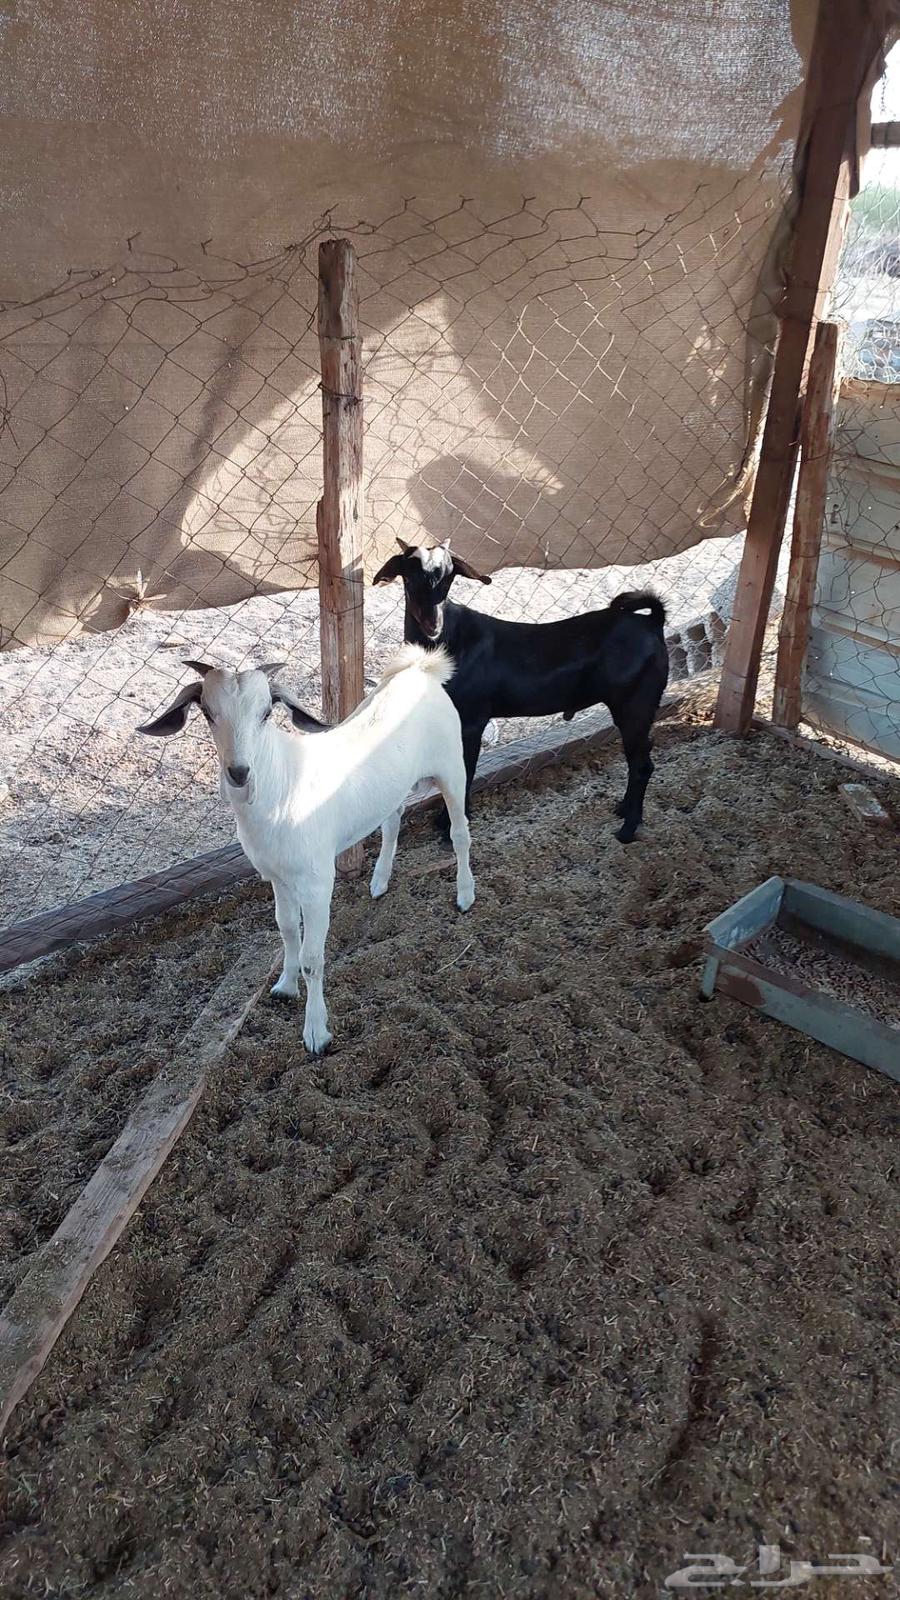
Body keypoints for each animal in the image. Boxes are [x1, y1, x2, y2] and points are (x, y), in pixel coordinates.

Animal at [138, 648, 475, 1054]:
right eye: (207, 712)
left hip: (452, 767)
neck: (282, 785)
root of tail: (421, 669)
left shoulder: (317, 882)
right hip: (395, 787)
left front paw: (316, 1033)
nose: (239, 773)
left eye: (266, 712)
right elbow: (286, 929)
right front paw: (284, 987)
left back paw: (465, 895)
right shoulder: (277, 876)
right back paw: (379, 882)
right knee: (392, 818)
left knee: (460, 832)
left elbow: (313, 957)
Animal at [373, 538, 668, 844]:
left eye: (449, 579)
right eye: (409, 578)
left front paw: (449, 826)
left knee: (641, 764)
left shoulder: (472, 719)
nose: (433, 625)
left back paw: (628, 829)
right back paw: (622, 809)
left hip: (634, 703)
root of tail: (653, 623)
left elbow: (466, 771)